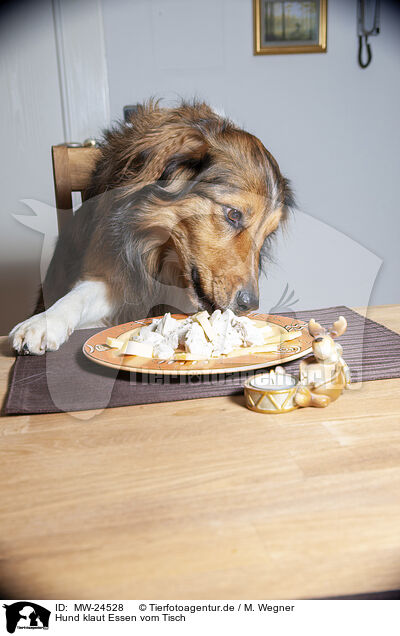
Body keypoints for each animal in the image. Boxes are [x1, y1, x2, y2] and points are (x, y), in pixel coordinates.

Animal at [8, 102, 290, 356]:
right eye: (233, 214)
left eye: (267, 235)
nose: (249, 304)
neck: (161, 254)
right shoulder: (118, 276)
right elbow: (79, 295)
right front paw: (43, 323)